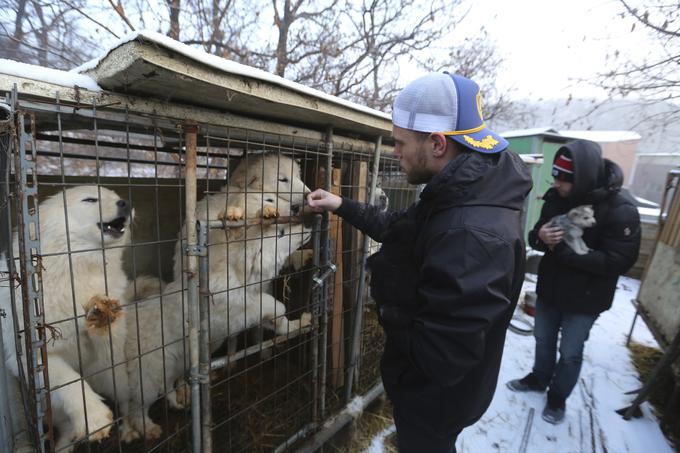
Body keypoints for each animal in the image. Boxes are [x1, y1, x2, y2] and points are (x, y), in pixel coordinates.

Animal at [0, 185, 134, 450]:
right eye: (90, 200)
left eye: (116, 197)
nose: (125, 203)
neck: (78, 266)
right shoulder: (38, 357)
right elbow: (72, 381)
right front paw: (93, 417)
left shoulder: (105, 352)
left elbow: (107, 336)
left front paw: (102, 318)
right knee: (67, 427)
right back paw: (65, 444)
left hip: (116, 380)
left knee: (127, 403)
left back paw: (134, 428)